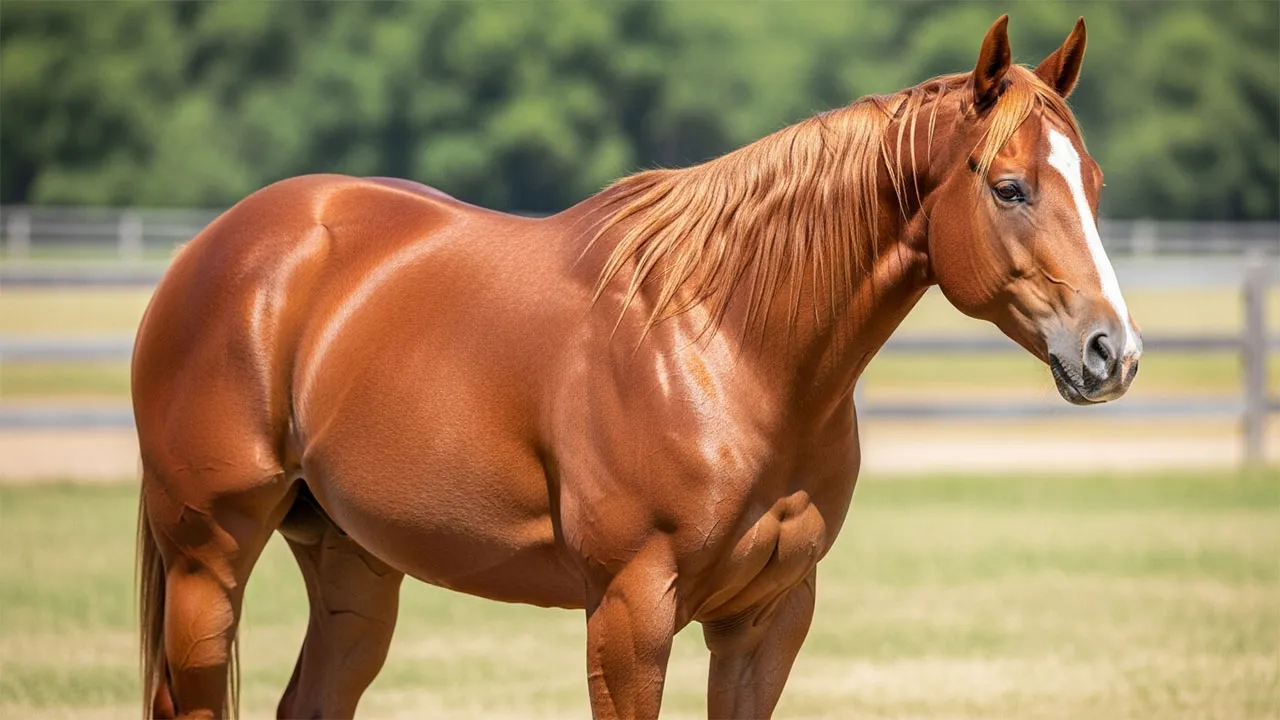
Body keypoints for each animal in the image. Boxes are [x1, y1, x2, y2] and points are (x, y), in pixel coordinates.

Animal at [134, 15, 1140, 719]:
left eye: (1095, 185)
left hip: (352, 565)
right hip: (209, 563)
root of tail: (216, 251)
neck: (727, 349)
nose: (1113, 352)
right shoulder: (629, 614)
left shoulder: (767, 619)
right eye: (1009, 187)